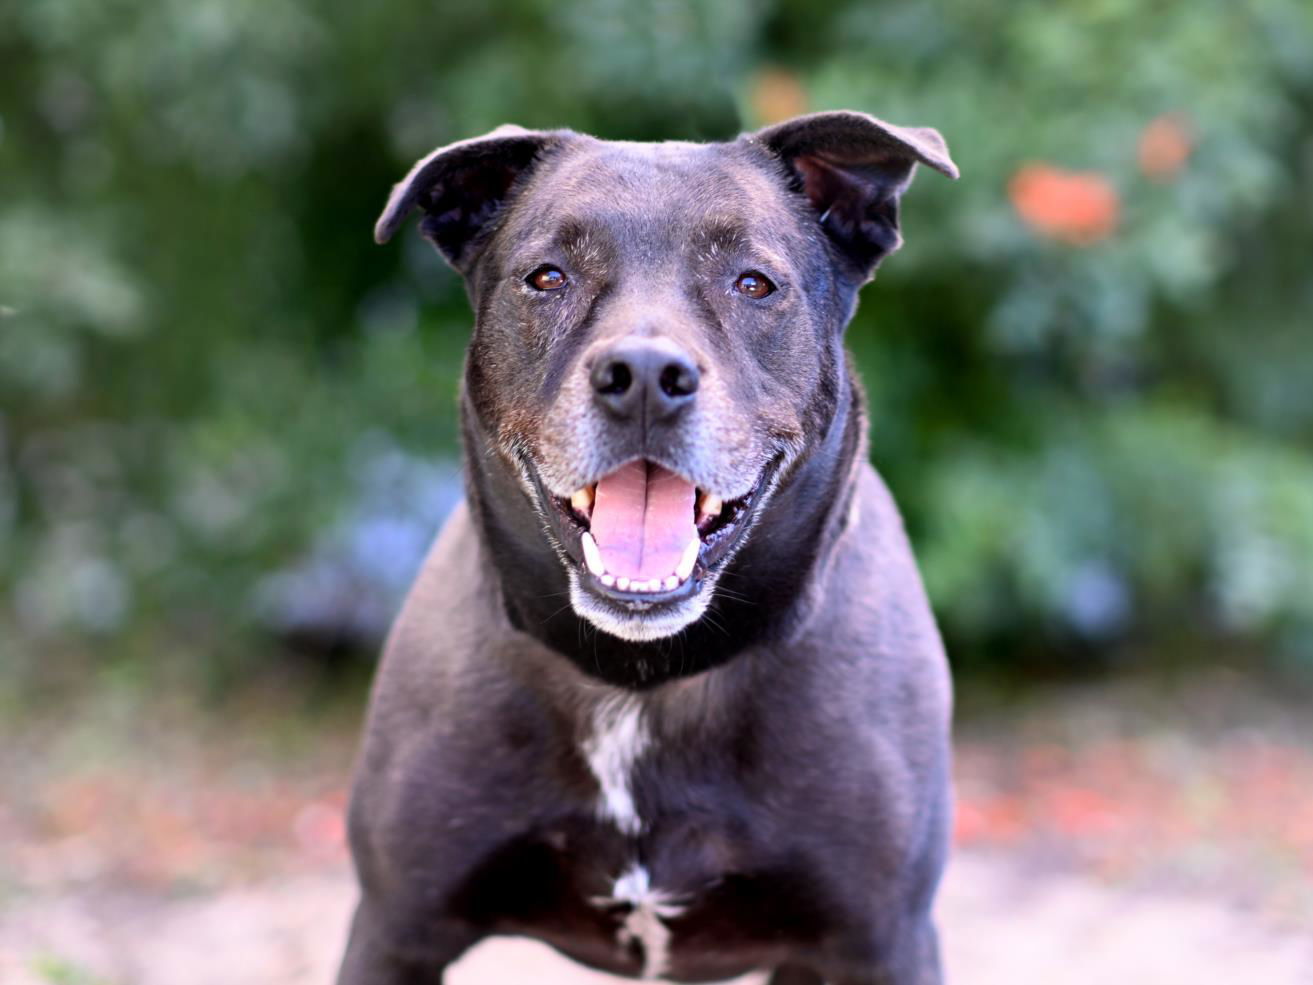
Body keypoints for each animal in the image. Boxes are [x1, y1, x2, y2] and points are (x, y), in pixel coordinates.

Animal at [333, 111, 961, 982]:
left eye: (752, 283)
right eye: (547, 277)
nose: (642, 374)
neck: (641, 682)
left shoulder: (883, 942)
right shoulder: (395, 928)